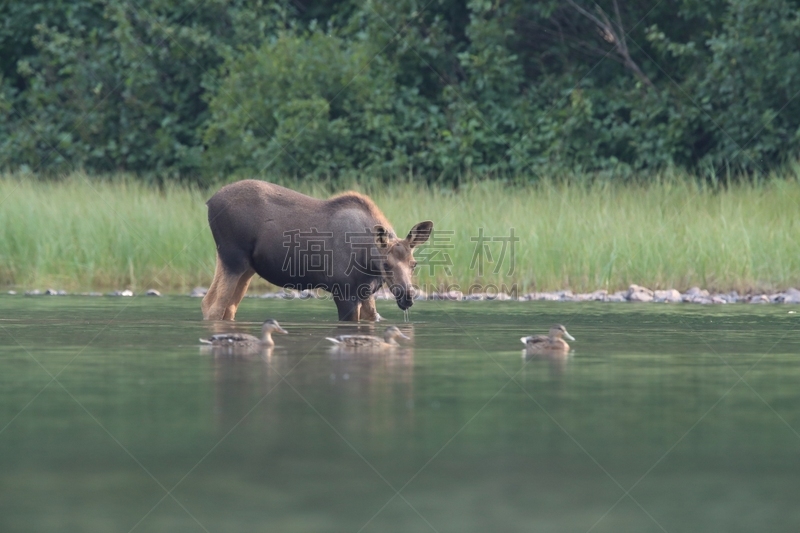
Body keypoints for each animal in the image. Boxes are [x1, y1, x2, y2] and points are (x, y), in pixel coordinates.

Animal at [203, 179, 434, 320]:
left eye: (414, 264)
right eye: (386, 264)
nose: (408, 296)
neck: (368, 260)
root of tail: (209, 202)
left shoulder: (366, 292)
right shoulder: (343, 291)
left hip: (245, 267)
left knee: (223, 306)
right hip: (233, 258)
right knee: (214, 305)